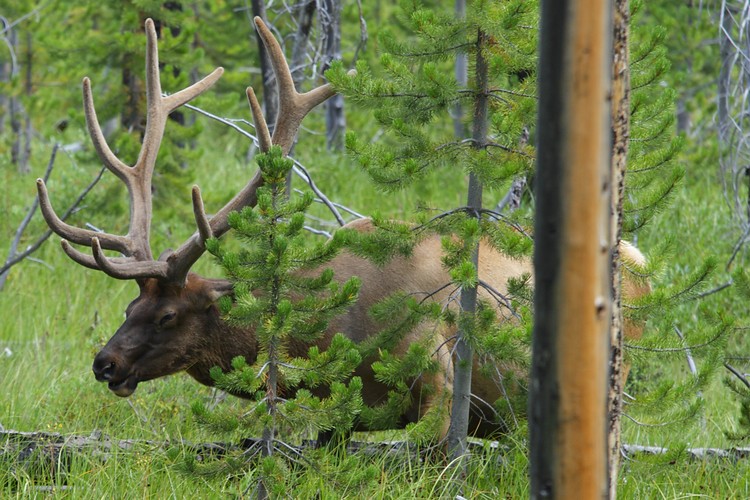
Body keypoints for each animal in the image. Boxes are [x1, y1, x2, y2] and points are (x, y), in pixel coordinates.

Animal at [37, 17, 651, 442]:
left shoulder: (438, 382)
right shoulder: (347, 410)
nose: (104, 362)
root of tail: (641, 263)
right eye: (128, 308)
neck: (334, 332)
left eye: (167, 315)